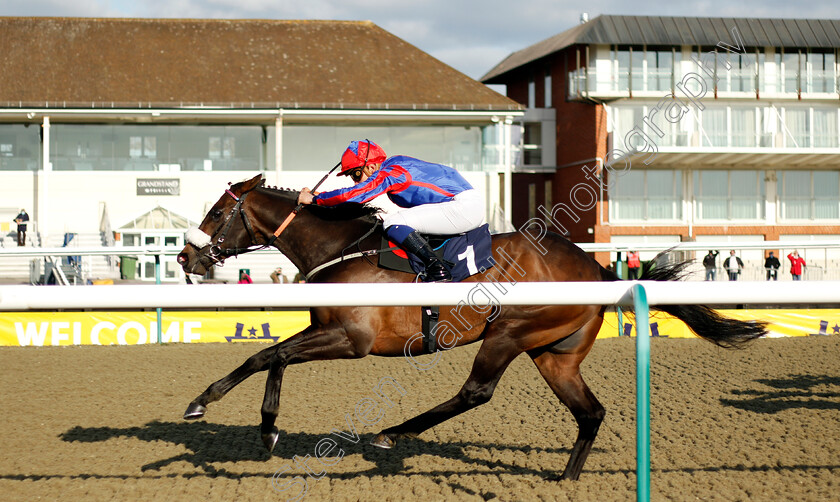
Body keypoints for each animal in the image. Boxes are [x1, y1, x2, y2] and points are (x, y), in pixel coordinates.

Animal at [177, 175, 768, 480]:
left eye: (216, 213)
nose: (186, 257)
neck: (343, 247)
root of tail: (596, 267)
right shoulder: (326, 331)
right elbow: (269, 355)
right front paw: (258, 424)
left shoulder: (352, 339)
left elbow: (266, 355)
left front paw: (218, 408)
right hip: (554, 353)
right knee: (590, 412)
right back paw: (566, 480)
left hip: (509, 333)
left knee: (476, 392)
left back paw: (393, 433)